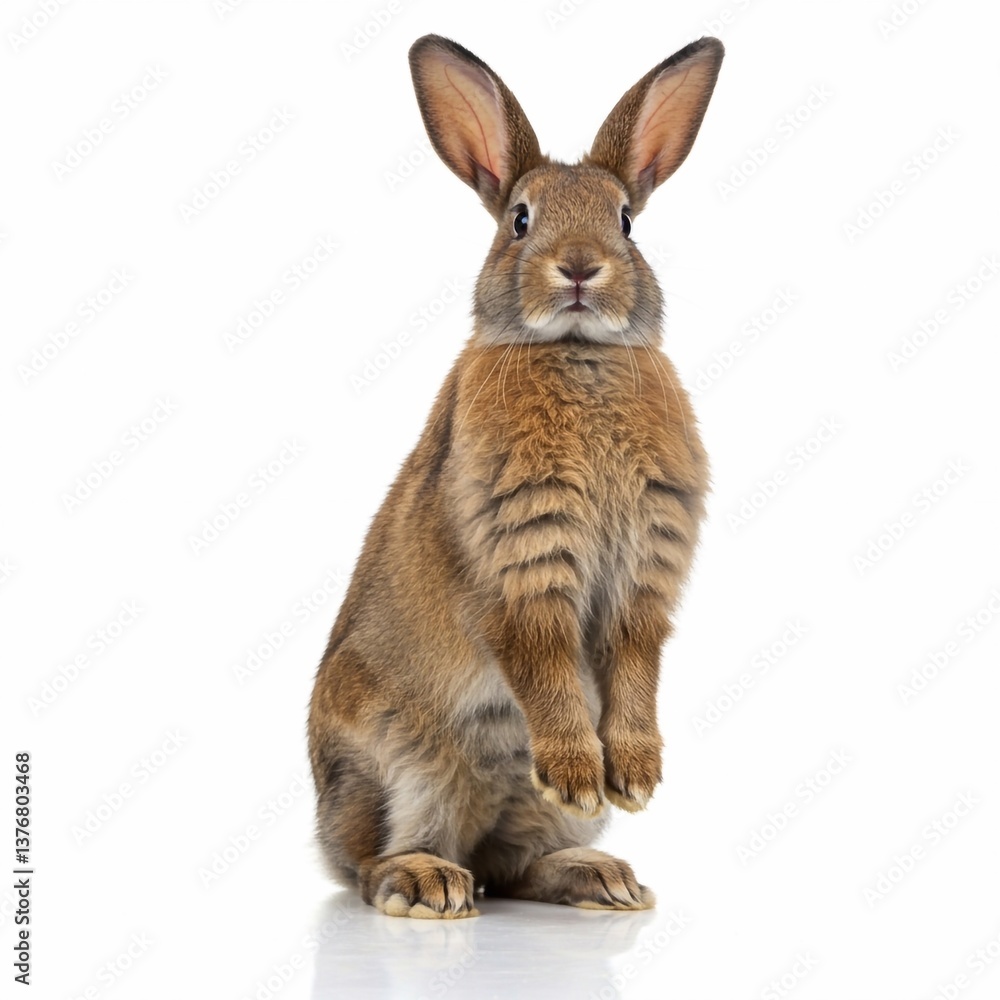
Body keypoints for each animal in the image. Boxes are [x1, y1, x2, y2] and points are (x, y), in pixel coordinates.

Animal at [308, 33, 723, 919]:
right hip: (402, 766)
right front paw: (578, 768)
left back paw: (603, 878)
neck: (578, 354)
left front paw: (633, 779)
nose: (580, 268)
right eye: (519, 220)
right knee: (371, 864)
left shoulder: (644, 577)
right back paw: (427, 883)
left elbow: (635, 660)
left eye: (626, 220)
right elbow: (543, 662)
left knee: (514, 864)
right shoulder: (522, 567)